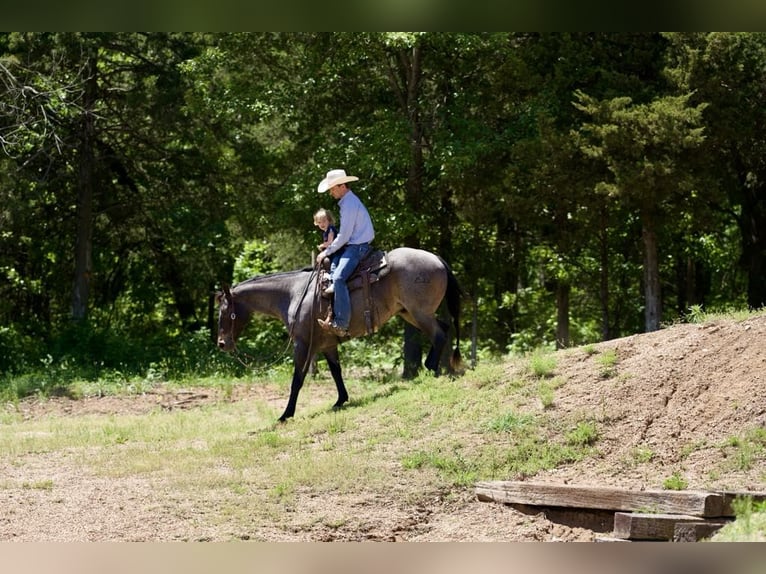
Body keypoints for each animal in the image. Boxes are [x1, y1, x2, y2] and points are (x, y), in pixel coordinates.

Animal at [219, 248, 464, 424]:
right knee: (444, 328)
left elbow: (297, 379)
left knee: (439, 334)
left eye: (225, 312)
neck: (294, 294)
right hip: (410, 313)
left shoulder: (303, 344)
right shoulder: (327, 344)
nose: (222, 344)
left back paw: (431, 368)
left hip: (418, 312)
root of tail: (436, 258)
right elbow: (336, 372)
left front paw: (285, 415)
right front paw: (340, 400)